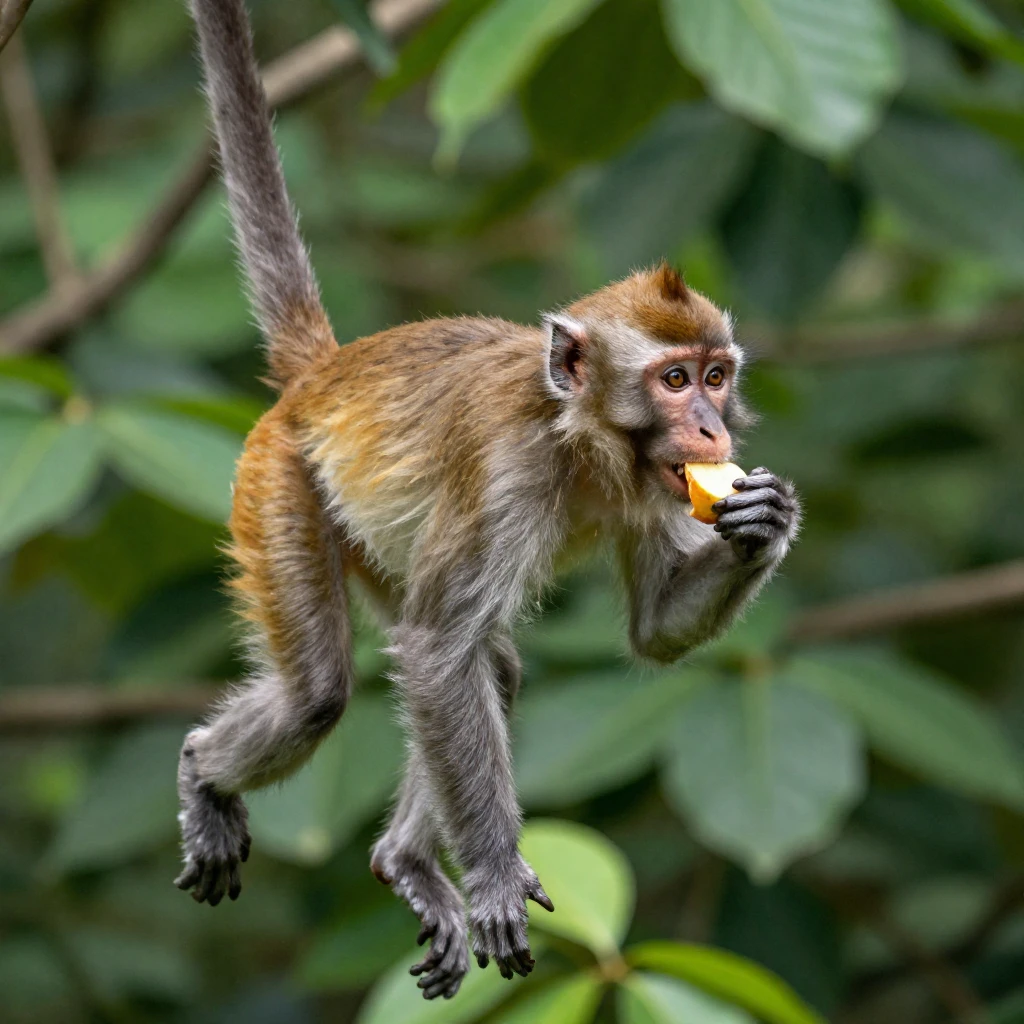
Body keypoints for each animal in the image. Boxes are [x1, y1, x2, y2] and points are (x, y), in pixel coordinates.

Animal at [175, 0, 800, 1002]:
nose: (712, 429)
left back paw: (402, 860)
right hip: (278, 480)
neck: (581, 441)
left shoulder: (658, 488)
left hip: (367, 533)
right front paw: (499, 874)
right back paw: (205, 771)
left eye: (715, 375)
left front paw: (764, 523)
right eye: (672, 380)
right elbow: (437, 649)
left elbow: (654, 631)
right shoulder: (509, 469)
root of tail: (321, 377)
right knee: (326, 689)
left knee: (488, 666)